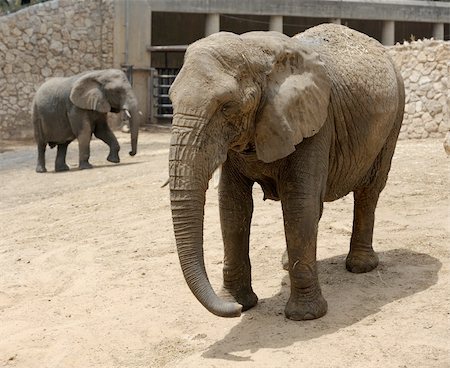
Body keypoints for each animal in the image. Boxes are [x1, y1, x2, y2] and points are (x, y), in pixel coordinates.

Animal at [168, 23, 404, 322]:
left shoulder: (316, 121)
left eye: (226, 107)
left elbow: (298, 204)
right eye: (171, 101)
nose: (233, 312)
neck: (253, 51)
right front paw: (240, 303)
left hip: (394, 120)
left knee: (368, 191)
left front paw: (305, 316)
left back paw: (360, 266)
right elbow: (232, 207)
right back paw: (285, 262)